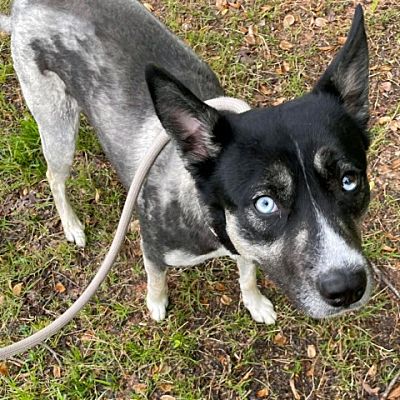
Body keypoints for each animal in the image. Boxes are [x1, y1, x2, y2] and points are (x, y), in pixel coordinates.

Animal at [1, 0, 374, 324]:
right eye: (265, 203)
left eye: (349, 181)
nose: (347, 288)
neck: (211, 220)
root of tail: (24, 6)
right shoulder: (153, 249)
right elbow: (156, 279)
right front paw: (156, 304)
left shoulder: (245, 246)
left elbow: (248, 274)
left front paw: (254, 303)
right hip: (57, 126)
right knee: (54, 177)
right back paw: (72, 226)